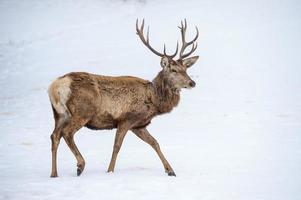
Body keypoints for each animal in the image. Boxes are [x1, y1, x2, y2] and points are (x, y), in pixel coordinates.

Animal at [48, 18, 198, 177]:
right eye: (174, 70)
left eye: (186, 69)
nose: (192, 82)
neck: (154, 100)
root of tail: (56, 86)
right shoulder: (126, 119)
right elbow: (117, 146)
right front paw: (110, 171)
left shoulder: (139, 125)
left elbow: (155, 143)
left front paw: (170, 171)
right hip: (83, 112)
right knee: (67, 133)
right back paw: (80, 165)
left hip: (59, 114)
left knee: (54, 136)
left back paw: (54, 174)